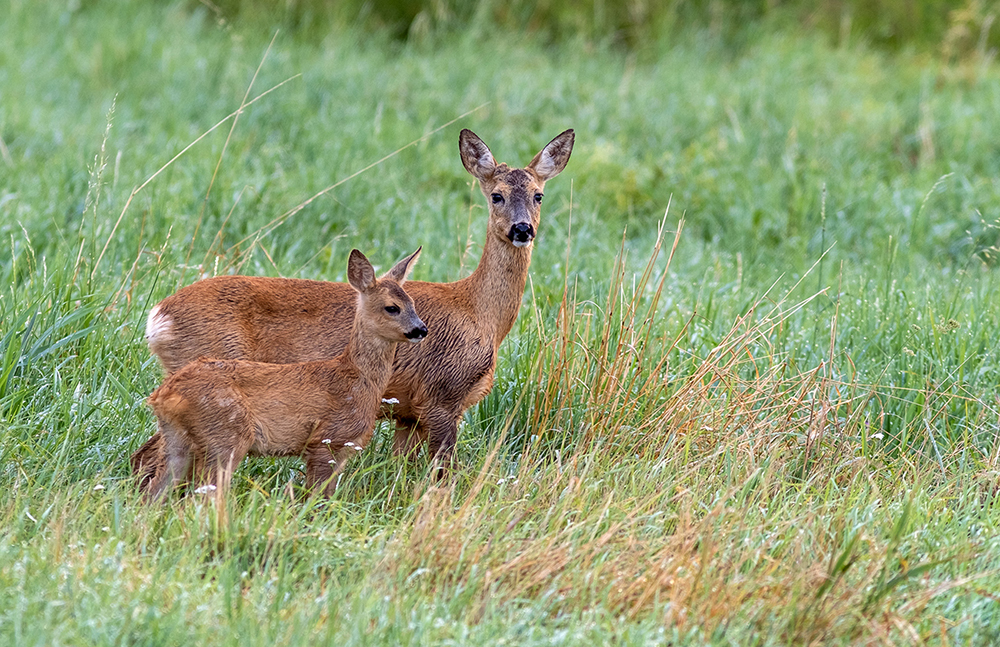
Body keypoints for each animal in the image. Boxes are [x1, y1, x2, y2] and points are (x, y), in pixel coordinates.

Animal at [145, 248, 426, 501]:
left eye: (413, 304)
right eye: (392, 308)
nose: (421, 329)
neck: (355, 378)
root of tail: (163, 396)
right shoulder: (326, 439)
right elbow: (317, 500)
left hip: (178, 440)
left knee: (154, 494)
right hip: (225, 435)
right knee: (202, 496)